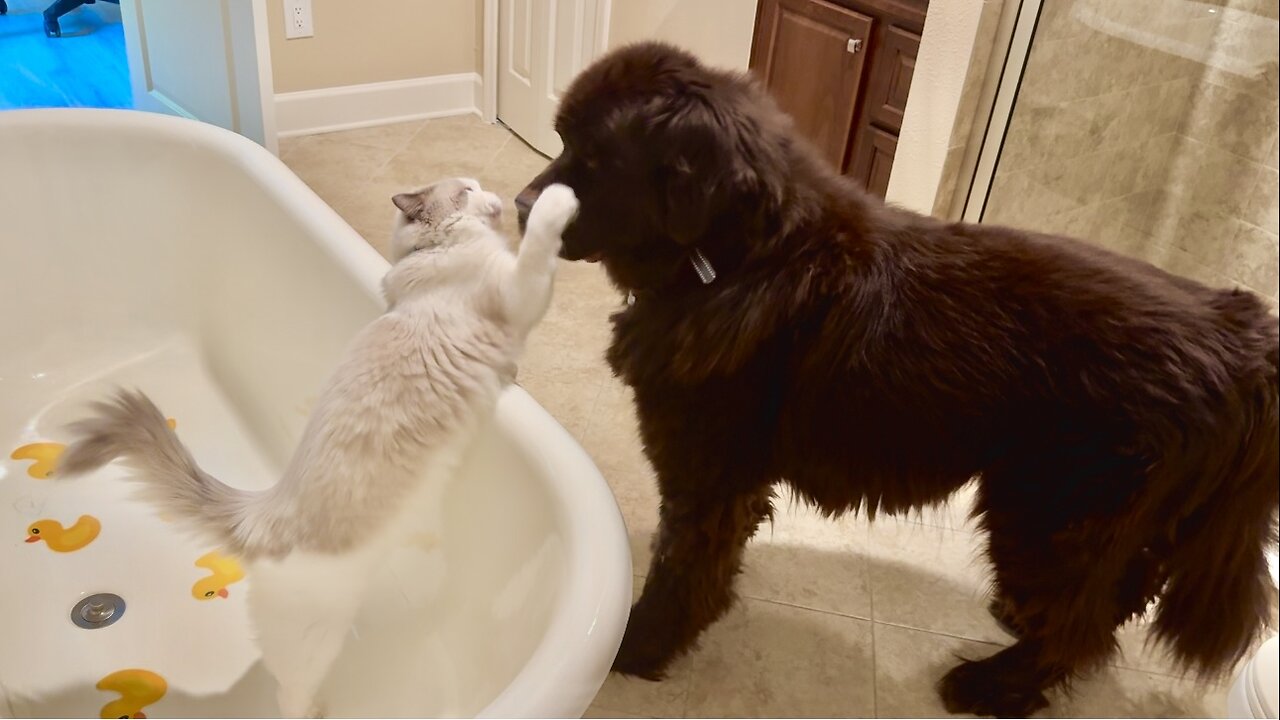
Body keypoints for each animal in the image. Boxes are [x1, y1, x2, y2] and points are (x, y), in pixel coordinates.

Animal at [58, 178, 581, 712]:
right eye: (467, 189)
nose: (493, 194)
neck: (437, 253)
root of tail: (260, 511)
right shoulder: (520, 289)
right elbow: (540, 244)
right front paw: (558, 197)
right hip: (313, 642)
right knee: (289, 693)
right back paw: (315, 710)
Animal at [514, 43, 1274, 712]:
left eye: (599, 159)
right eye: (561, 141)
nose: (521, 205)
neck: (736, 260)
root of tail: (1240, 332)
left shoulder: (707, 476)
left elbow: (681, 569)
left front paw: (637, 643)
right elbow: (711, 566)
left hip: (1045, 513)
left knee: (1080, 632)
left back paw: (994, 686)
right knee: (1110, 603)